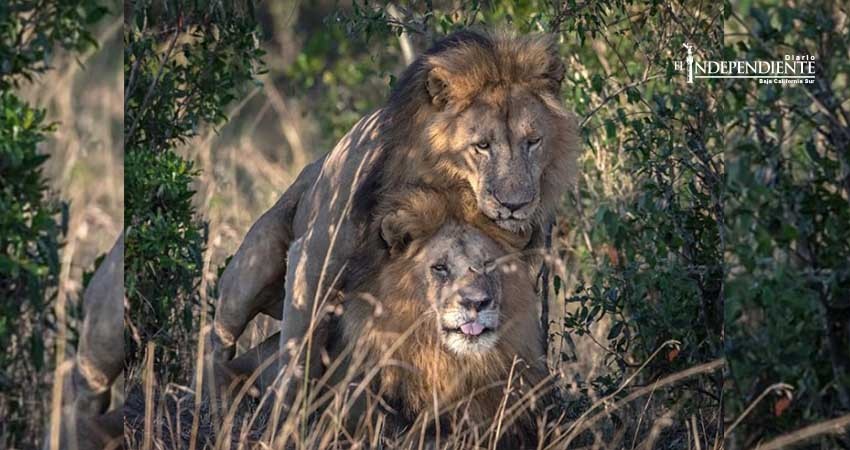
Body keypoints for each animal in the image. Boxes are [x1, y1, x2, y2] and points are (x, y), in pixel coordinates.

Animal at [205, 30, 579, 399]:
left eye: (533, 142)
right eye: (482, 146)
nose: (515, 205)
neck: (450, 191)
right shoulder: (312, 259)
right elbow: (298, 359)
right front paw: (287, 415)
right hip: (252, 270)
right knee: (219, 344)